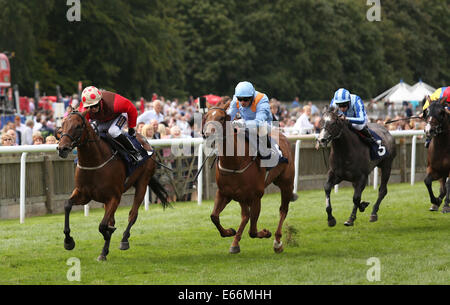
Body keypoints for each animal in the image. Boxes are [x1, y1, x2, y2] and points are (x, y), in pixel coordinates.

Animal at [56, 110, 169, 260]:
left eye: (78, 126)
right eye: (62, 125)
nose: (62, 148)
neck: (94, 161)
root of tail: (145, 141)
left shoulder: (114, 197)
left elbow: (103, 225)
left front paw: (108, 233)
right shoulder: (83, 194)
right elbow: (67, 205)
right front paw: (68, 241)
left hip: (142, 182)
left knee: (133, 214)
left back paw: (124, 240)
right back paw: (104, 251)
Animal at [202, 101, 298, 253]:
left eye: (221, 118)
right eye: (206, 117)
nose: (207, 134)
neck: (235, 161)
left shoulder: (256, 196)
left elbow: (252, 231)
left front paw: (265, 233)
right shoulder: (224, 193)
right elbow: (214, 216)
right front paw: (229, 232)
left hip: (286, 184)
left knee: (283, 210)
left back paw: (277, 242)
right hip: (241, 196)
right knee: (245, 216)